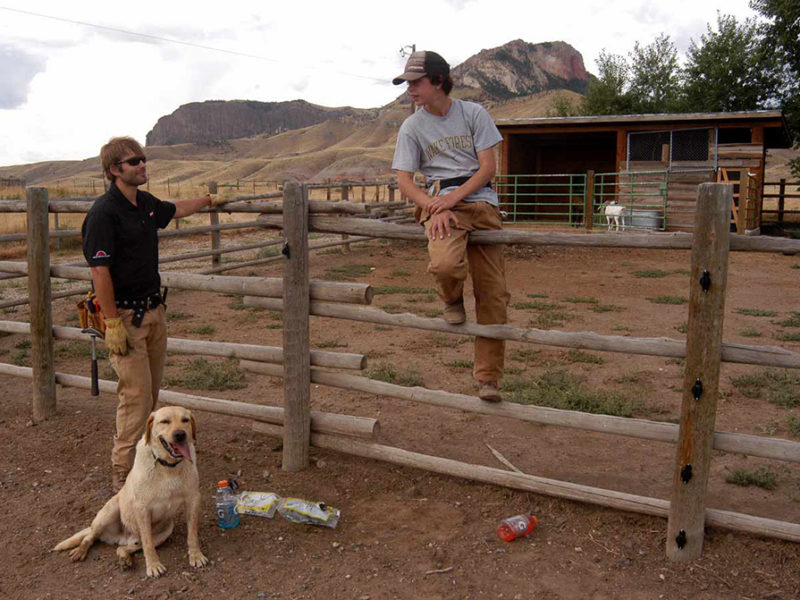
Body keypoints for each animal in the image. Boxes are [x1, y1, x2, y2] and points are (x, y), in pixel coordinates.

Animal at [53, 406, 208, 580]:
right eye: (165, 421)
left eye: (185, 420)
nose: (180, 434)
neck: (168, 467)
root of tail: (122, 538)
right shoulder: (142, 508)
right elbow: (148, 544)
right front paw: (153, 566)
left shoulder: (193, 499)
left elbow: (192, 535)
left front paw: (196, 555)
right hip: (108, 513)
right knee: (90, 537)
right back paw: (80, 551)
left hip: (166, 530)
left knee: (122, 548)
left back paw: (125, 559)